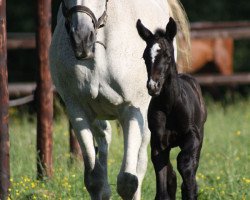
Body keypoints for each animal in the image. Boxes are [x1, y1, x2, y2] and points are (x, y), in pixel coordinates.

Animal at [49, 0, 189, 199]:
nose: (82, 39)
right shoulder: (78, 112)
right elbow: (95, 180)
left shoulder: (132, 111)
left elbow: (128, 181)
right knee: (104, 138)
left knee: (140, 164)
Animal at [138, 17, 206, 200]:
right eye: (144, 56)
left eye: (167, 55)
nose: (153, 86)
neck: (170, 107)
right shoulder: (158, 143)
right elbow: (164, 178)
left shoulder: (193, 136)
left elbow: (185, 164)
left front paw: (191, 191)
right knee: (171, 175)